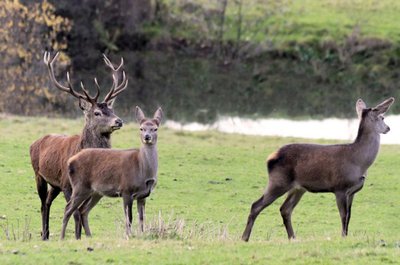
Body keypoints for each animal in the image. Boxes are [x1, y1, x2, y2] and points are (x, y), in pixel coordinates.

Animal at [30, 51, 129, 239]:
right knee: (42, 203)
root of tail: (35, 141)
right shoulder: (67, 185)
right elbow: (75, 212)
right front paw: (76, 237)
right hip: (39, 174)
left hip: (55, 184)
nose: (119, 121)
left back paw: (47, 234)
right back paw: (44, 235)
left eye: (111, 110)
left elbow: (83, 211)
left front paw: (81, 236)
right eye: (97, 113)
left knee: (48, 201)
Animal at [60, 106, 162, 238]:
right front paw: (128, 235)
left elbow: (141, 218)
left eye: (155, 129)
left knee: (83, 210)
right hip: (80, 186)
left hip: (95, 192)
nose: (147, 137)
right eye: (141, 128)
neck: (142, 169)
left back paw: (89, 236)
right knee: (68, 208)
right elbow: (129, 218)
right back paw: (62, 237)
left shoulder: (143, 195)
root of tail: (70, 161)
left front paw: (142, 235)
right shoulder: (126, 190)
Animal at [241, 97, 394, 241]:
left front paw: (346, 235)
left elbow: (349, 216)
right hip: (278, 181)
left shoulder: (352, 192)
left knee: (285, 209)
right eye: (382, 117)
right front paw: (343, 237)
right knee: (256, 205)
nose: (388, 128)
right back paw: (245, 238)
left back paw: (293, 237)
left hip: (298, 188)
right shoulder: (339, 187)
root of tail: (270, 157)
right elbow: (343, 215)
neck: (360, 162)